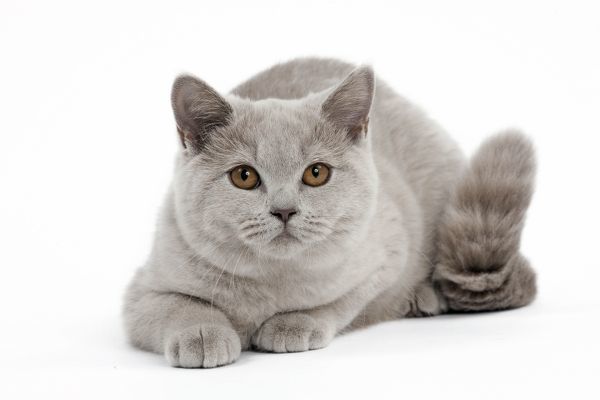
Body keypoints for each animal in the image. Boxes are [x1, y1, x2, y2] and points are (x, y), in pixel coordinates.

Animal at [124, 57, 536, 368]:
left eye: (316, 173)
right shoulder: (143, 289)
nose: (284, 210)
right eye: (244, 176)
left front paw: (291, 325)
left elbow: (337, 302)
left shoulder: (384, 256)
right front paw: (204, 335)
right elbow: (177, 306)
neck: (271, 282)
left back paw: (424, 298)